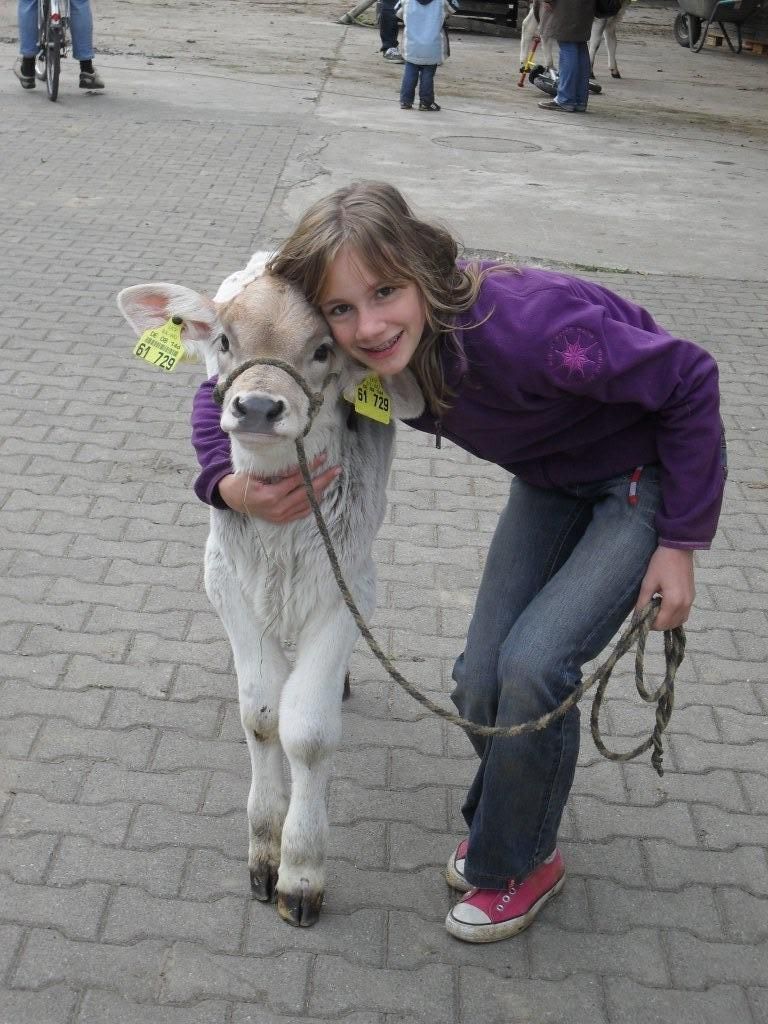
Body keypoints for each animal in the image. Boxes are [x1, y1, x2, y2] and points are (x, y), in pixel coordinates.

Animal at [118, 258, 428, 929]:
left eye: (322, 349)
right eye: (224, 340)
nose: (257, 405)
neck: (281, 540)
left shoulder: (349, 588)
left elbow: (306, 732)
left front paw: (301, 873)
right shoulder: (225, 583)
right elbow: (261, 717)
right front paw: (263, 852)